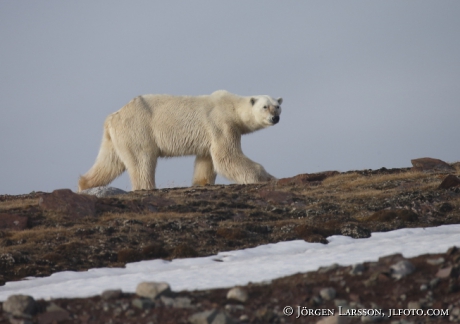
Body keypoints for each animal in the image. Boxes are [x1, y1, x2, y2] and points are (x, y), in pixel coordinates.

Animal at [77, 90, 282, 191]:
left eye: (278, 106)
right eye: (265, 107)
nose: (275, 118)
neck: (232, 107)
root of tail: (113, 116)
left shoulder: (209, 134)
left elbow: (206, 160)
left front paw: (201, 183)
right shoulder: (221, 124)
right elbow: (227, 157)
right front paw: (267, 177)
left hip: (116, 137)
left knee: (109, 162)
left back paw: (84, 184)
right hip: (138, 130)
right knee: (142, 161)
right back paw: (146, 187)